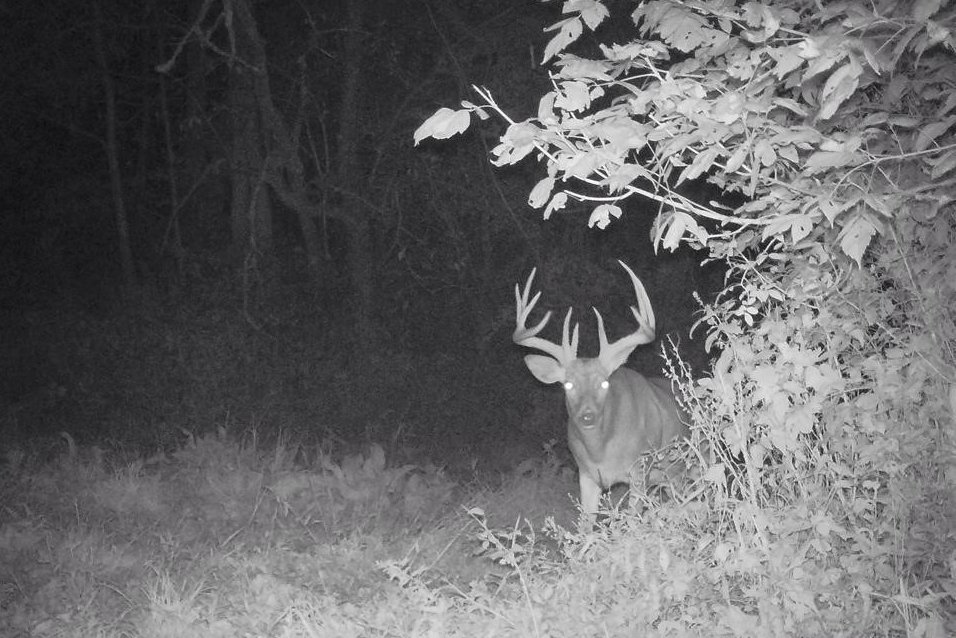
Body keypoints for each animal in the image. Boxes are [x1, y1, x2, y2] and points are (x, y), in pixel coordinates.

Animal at [512, 260, 689, 524]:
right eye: (568, 385)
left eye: (604, 383)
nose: (587, 416)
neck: (601, 452)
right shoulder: (586, 475)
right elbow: (585, 527)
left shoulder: (640, 467)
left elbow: (632, 522)